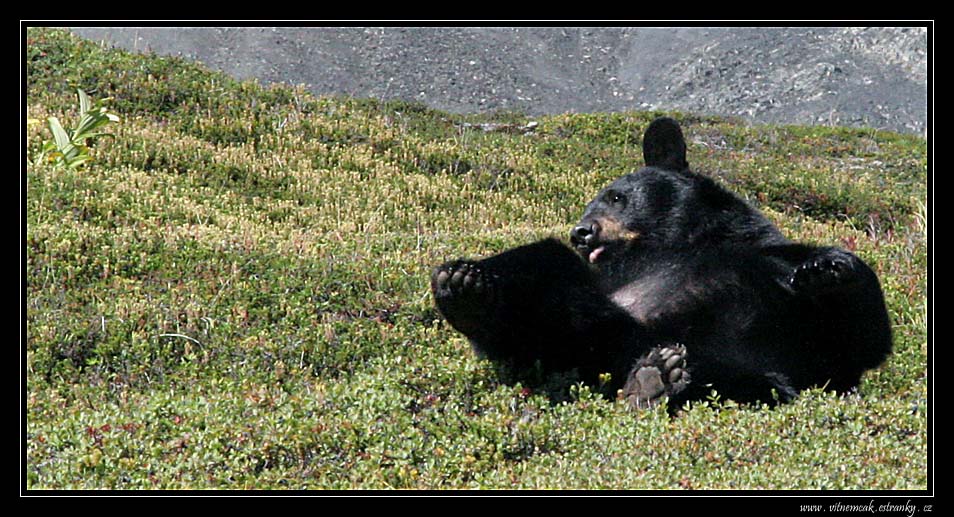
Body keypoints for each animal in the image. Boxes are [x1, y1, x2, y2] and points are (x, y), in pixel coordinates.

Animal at [432, 118, 892, 412]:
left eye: (616, 197)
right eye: (592, 202)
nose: (581, 232)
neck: (684, 245)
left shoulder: (772, 269)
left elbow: (855, 342)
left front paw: (828, 270)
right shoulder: (610, 283)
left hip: (734, 367)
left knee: (742, 380)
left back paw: (651, 381)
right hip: (590, 328)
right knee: (545, 278)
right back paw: (466, 288)